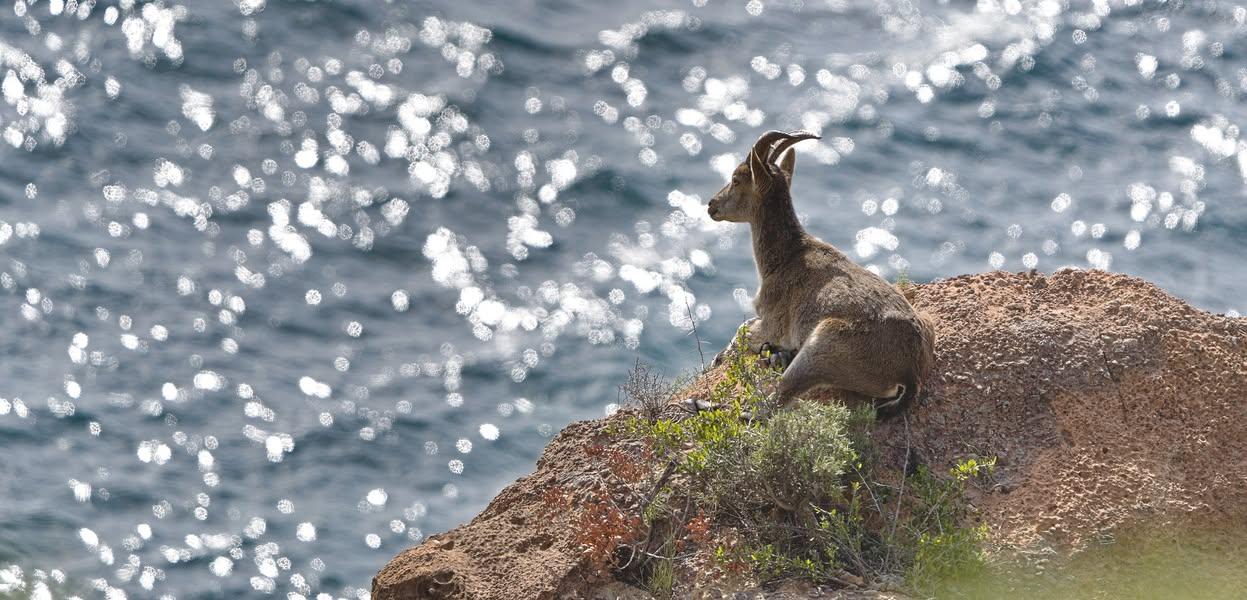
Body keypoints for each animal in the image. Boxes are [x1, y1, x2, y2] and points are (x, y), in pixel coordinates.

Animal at [706, 130, 935, 417]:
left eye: (736, 179)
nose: (711, 205)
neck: (787, 256)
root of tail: (909, 374)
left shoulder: (772, 323)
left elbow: (743, 333)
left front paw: (721, 358)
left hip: (822, 347)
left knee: (777, 401)